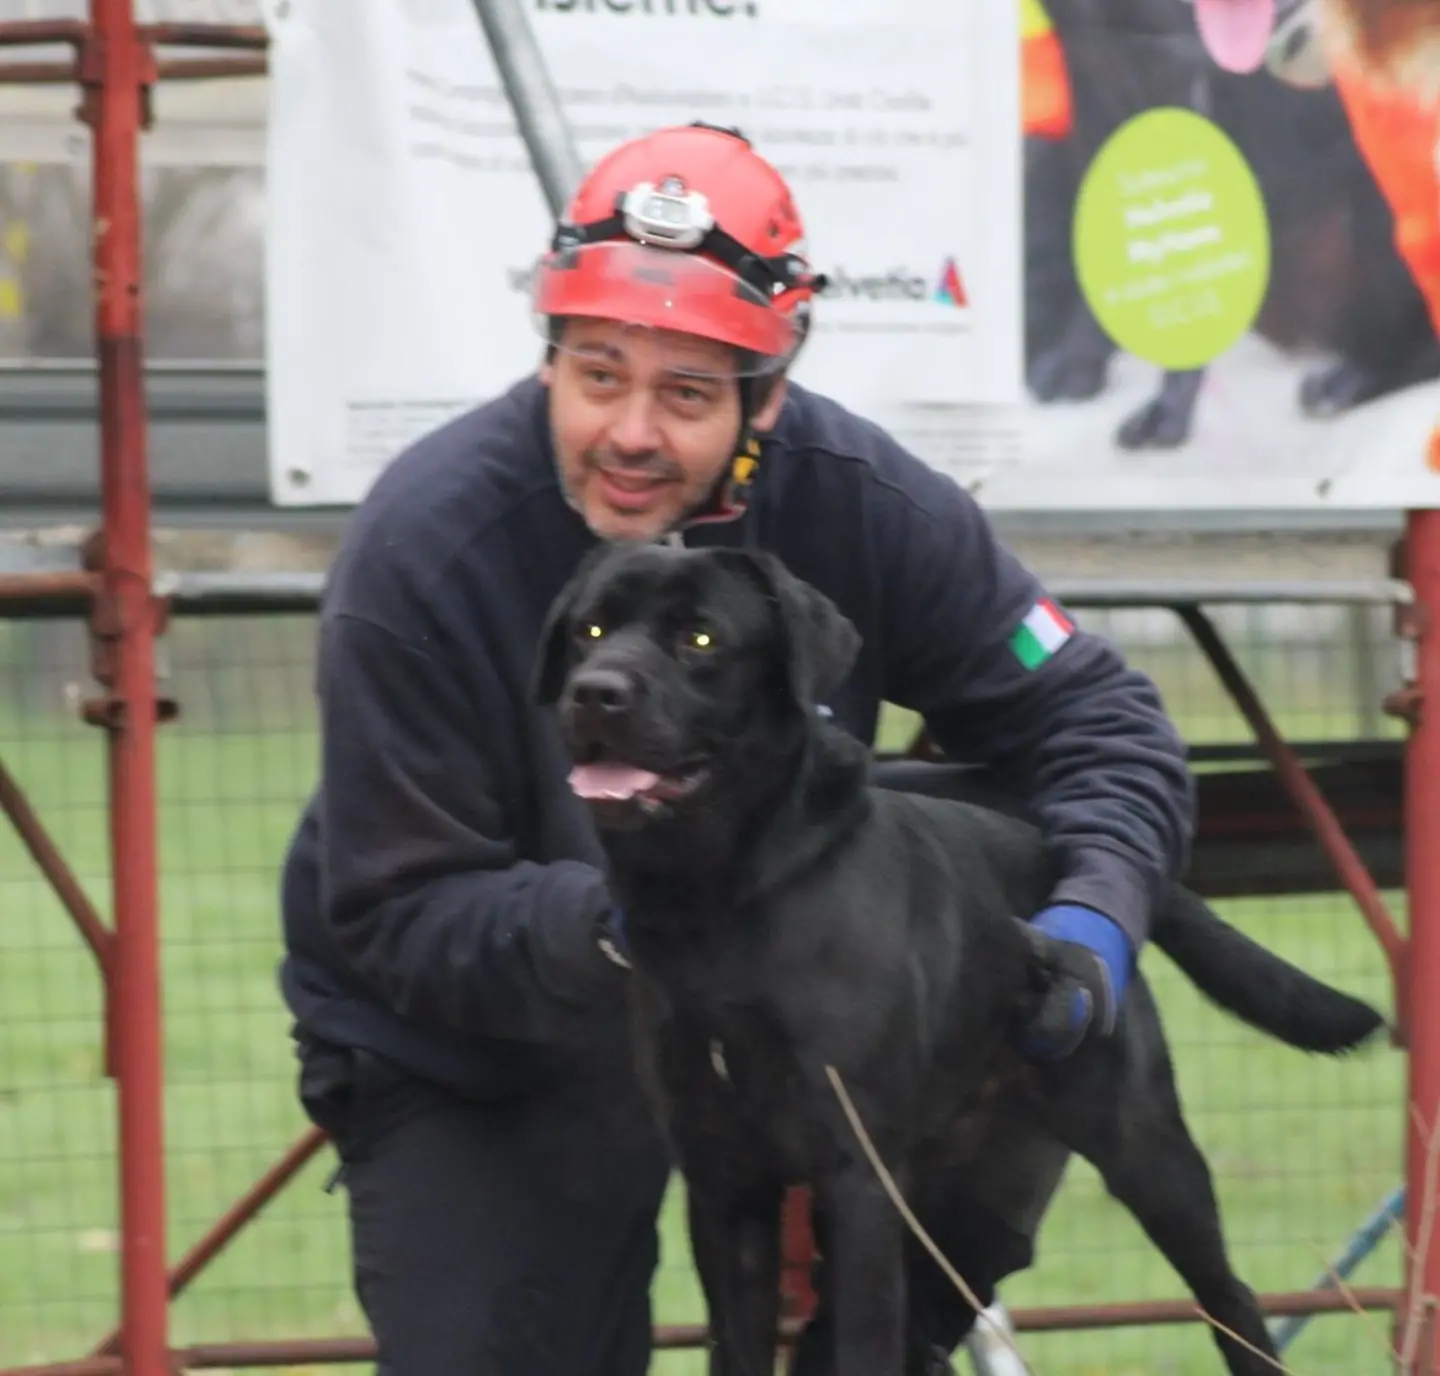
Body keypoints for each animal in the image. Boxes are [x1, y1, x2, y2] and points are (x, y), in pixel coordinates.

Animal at [535, 546, 1388, 1376]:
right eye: (590, 630)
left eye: (701, 637)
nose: (595, 693)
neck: (716, 902)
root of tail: (1060, 850)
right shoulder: (722, 1179)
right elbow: (737, 1347)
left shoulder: (857, 1174)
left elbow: (863, 1349)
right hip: (962, 1206)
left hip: (1142, 1151)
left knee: (1229, 1298)